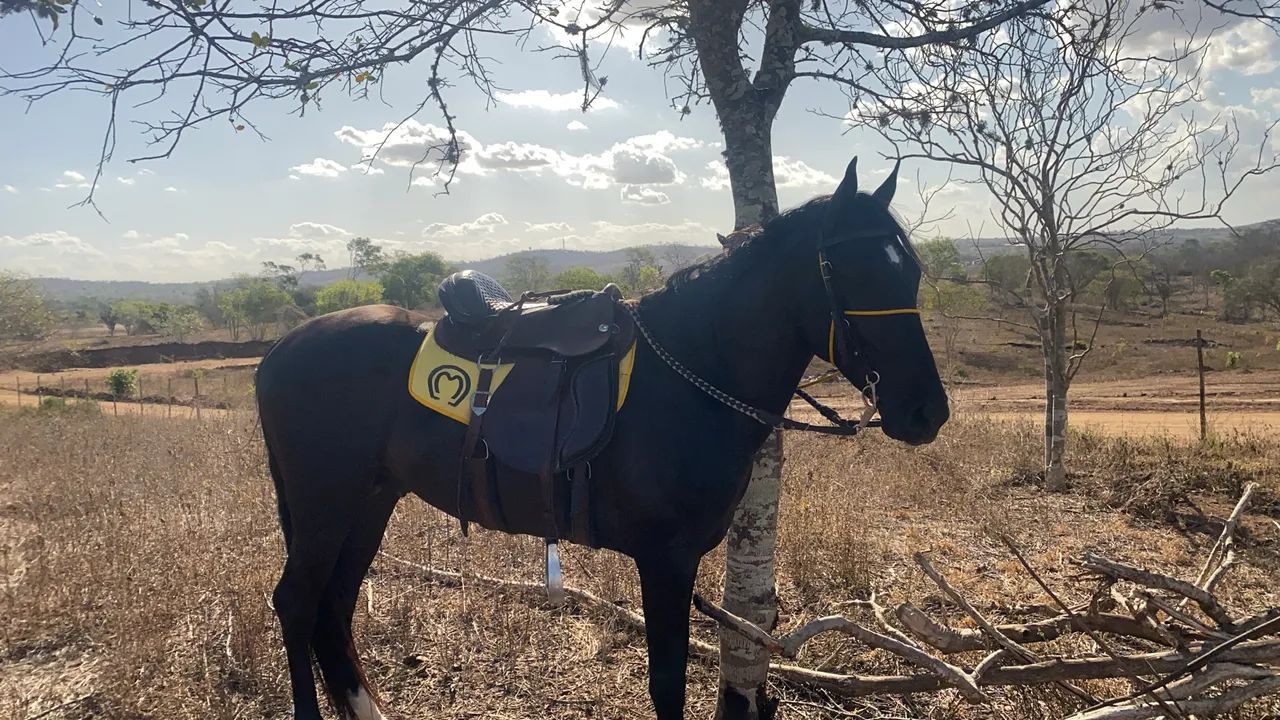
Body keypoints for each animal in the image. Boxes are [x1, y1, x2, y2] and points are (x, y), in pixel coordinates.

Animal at [255, 157, 949, 720]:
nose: (926, 412)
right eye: (849, 272)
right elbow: (667, 685)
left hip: (369, 502)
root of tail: (277, 352)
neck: (694, 370)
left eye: (911, 273)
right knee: (297, 603)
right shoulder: (666, 559)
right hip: (325, 505)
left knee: (333, 609)